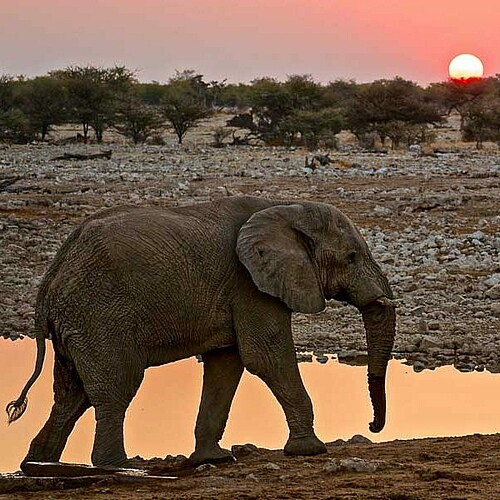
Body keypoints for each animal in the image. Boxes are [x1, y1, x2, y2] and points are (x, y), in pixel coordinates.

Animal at [5, 195, 396, 468]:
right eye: (351, 257)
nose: (372, 425)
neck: (286, 209)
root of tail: (51, 277)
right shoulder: (249, 285)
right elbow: (266, 357)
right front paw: (311, 451)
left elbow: (227, 364)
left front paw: (213, 459)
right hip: (98, 316)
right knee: (115, 388)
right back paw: (118, 466)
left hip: (76, 323)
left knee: (71, 397)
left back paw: (37, 464)